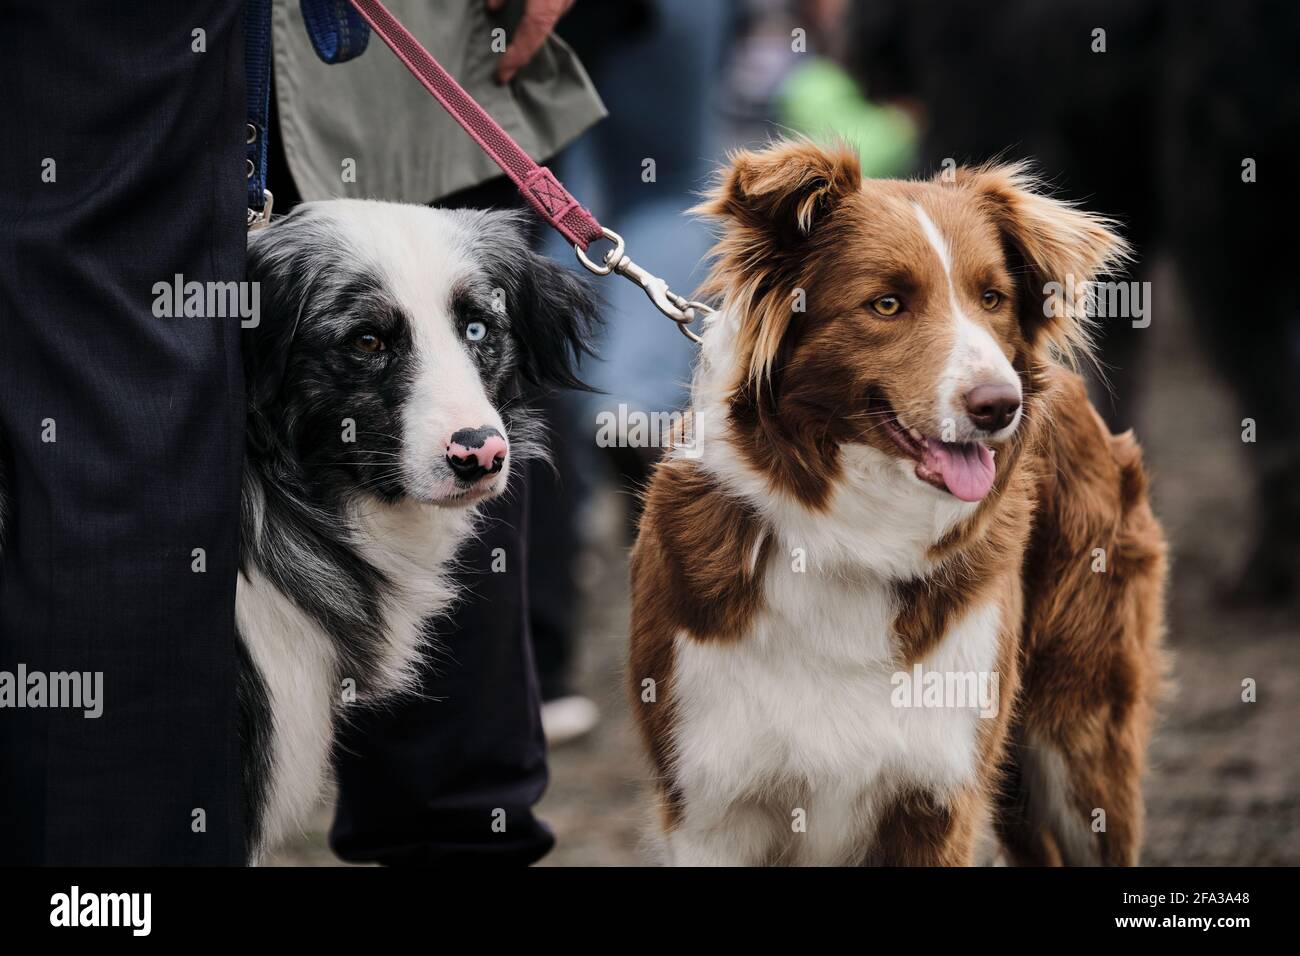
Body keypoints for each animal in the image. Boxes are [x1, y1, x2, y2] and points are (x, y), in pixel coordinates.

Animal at [629, 141, 1170, 868]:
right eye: (886, 304)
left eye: (992, 298)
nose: (1000, 405)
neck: (852, 539)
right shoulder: (712, 812)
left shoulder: (937, 801)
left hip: (1082, 737)